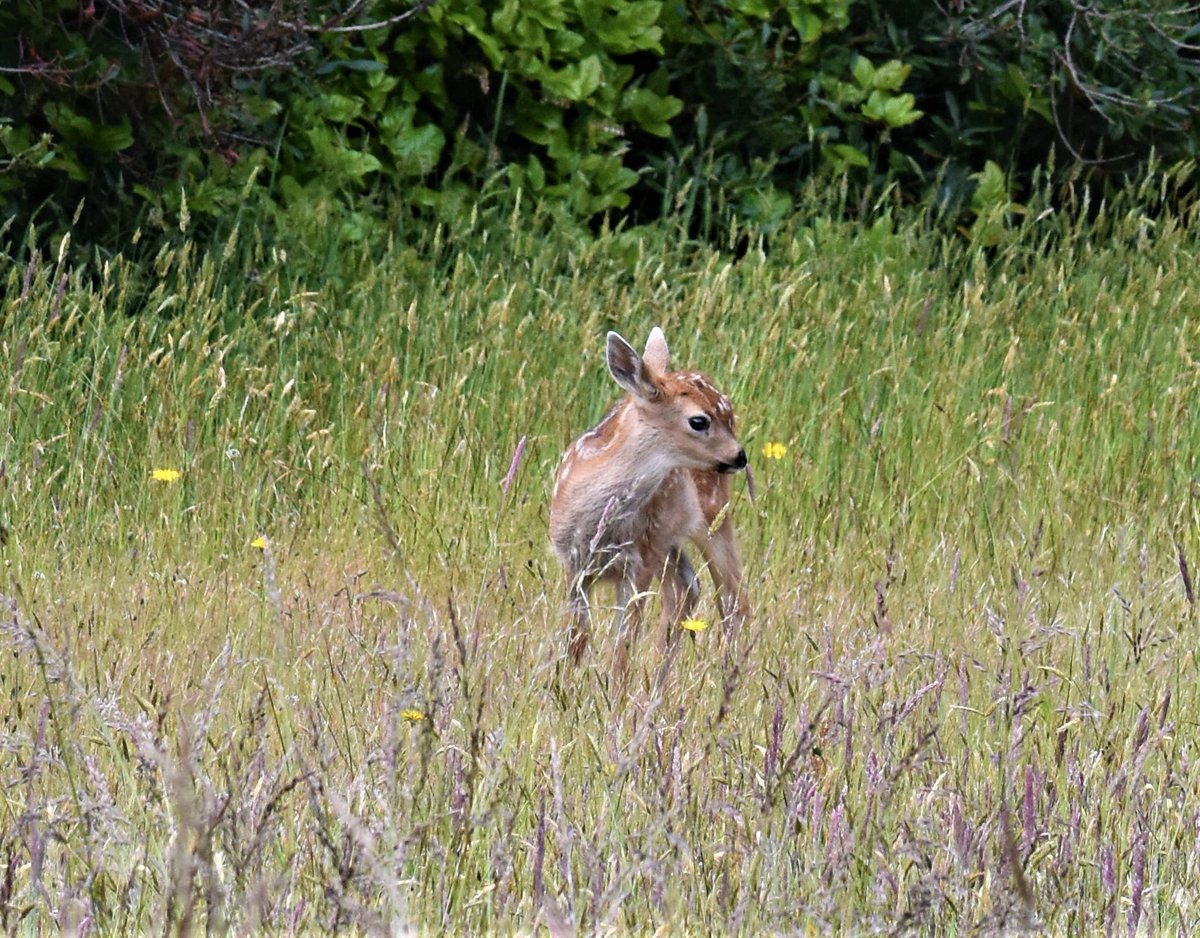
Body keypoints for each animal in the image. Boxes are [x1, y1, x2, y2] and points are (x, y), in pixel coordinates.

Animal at [549, 326, 750, 676]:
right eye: (699, 421)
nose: (740, 455)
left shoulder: (638, 561)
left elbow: (622, 648)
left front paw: (615, 690)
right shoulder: (573, 563)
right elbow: (577, 638)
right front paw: (564, 685)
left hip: (710, 515)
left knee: (734, 595)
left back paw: (728, 676)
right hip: (665, 541)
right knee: (687, 588)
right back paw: (658, 678)